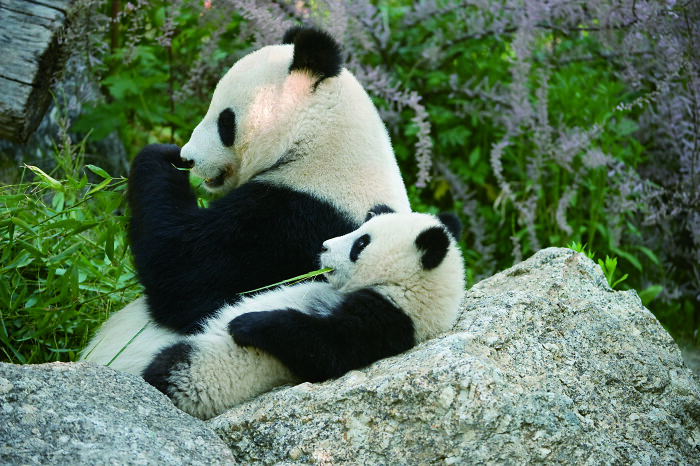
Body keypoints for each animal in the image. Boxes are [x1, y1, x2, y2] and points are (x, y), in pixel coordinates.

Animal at [81, 26, 410, 365]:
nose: (189, 157)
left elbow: (183, 269)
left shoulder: (297, 222)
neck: (320, 145)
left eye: (225, 121)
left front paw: (162, 154)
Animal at [141, 208, 465, 419]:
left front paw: (246, 324)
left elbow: (325, 349)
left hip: (203, 372)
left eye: (361, 243)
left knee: (169, 368)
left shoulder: (389, 321)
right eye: (360, 230)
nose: (323, 247)